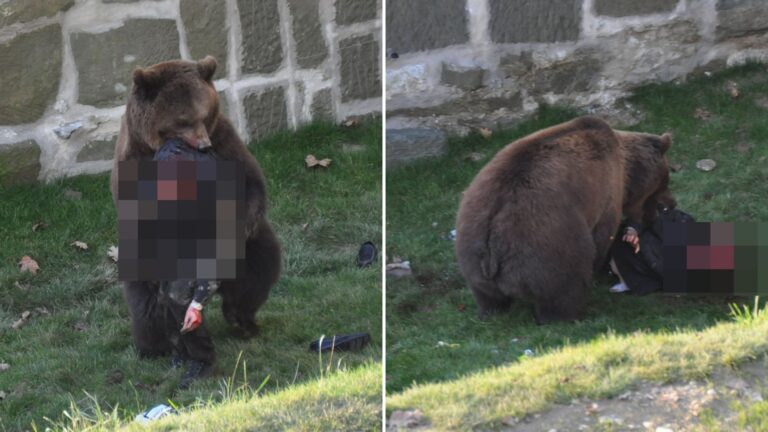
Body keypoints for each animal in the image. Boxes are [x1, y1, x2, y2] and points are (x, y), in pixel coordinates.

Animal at [110, 56, 282, 359]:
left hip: (252, 250)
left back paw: (241, 319)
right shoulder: (135, 161)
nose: (203, 145)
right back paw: (155, 344)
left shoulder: (224, 140)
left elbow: (250, 183)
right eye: (182, 120)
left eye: (204, 114)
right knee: (146, 299)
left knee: (260, 266)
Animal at [455, 116, 672, 324]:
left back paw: (491, 312)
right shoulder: (606, 193)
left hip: (471, 251)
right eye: (664, 182)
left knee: (486, 295)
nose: (668, 205)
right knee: (562, 286)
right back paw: (568, 315)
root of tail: (491, 250)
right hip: (546, 243)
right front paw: (601, 270)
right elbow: (602, 237)